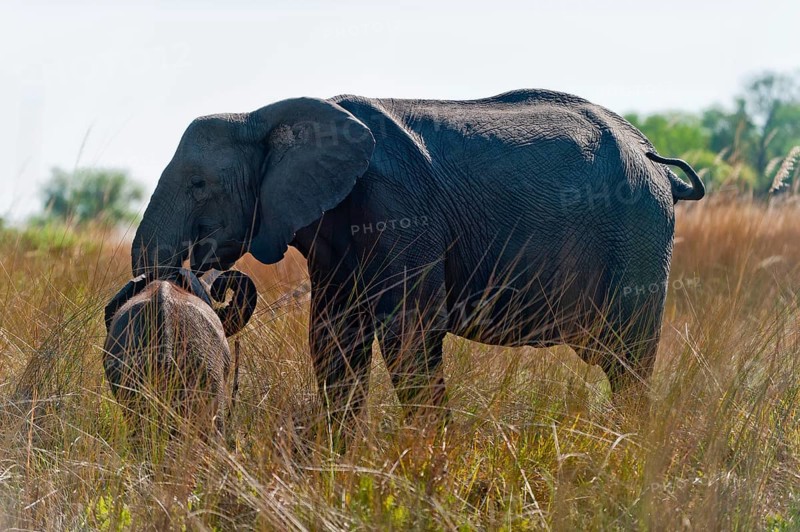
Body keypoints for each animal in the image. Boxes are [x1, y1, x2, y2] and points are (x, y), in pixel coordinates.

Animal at [131, 89, 704, 433]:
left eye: (199, 185)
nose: (203, 276)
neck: (262, 116)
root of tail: (656, 161)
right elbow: (333, 339)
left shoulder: (398, 209)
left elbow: (409, 335)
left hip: (639, 229)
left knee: (628, 360)